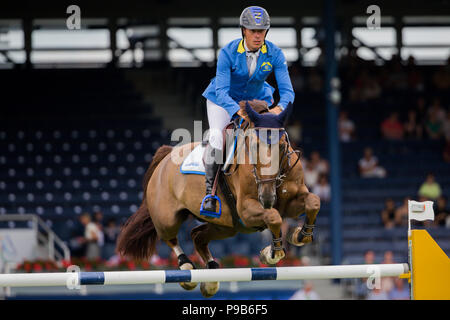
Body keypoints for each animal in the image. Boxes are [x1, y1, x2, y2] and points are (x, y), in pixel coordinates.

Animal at [116, 102, 320, 298]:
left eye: (282, 146)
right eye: (254, 147)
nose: (268, 198)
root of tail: (165, 157)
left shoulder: (289, 203)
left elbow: (313, 202)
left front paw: (299, 235)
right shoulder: (246, 210)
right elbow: (274, 217)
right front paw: (272, 253)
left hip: (226, 226)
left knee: (198, 236)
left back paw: (211, 277)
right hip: (168, 218)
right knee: (170, 237)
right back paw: (186, 267)